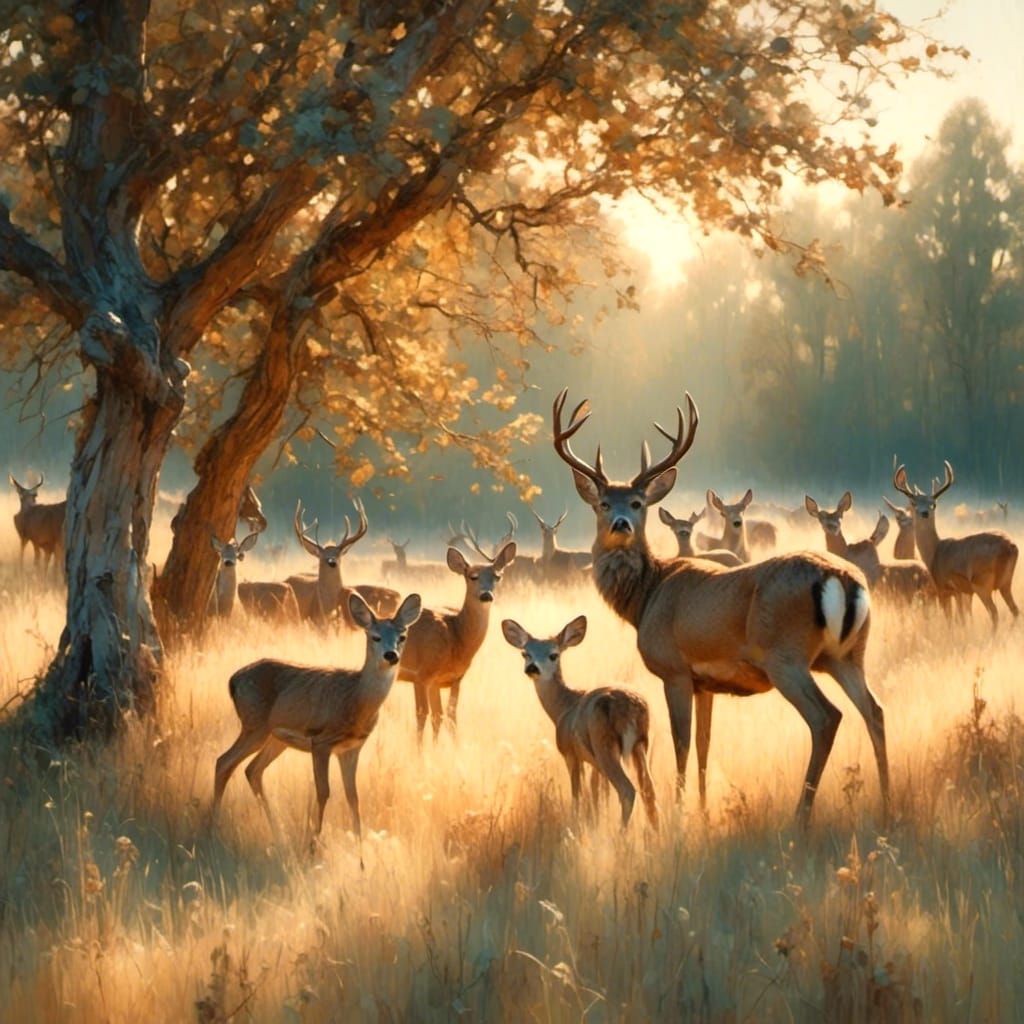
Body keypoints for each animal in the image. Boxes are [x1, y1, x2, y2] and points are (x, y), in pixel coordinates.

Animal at [213, 592, 422, 847]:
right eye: (375, 636)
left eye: (402, 636)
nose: (391, 655)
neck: (356, 699)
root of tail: (233, 680)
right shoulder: (322, 741)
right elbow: (324, 791)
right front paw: (313, 843)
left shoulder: (351, 748)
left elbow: (353, 796)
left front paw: (360, 847)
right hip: (254, 725)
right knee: (224, 762)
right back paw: (211, 827)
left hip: (276, 738)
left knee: (252, 769)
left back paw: (277, 833)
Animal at [398, 542, 516, 741]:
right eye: (472, 576)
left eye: (498, 576)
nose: (486, 595)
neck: (456, 636)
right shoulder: (422, 674)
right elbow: (423, 715)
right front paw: (420, 749)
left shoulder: (452, 679)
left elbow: (446, 717)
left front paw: (446, 747)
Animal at [502, 615, 659, 829]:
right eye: (525, 654)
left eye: (554, 655)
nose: (532, 668)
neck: (563, 708)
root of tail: (631, 708)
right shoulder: (594, 764)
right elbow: (597, 795)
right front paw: (596, 823)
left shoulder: (570, 752)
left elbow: (578, 794)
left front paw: (578, 824)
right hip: (640, 745)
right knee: (649, 790)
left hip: (603, 744)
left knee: (627, 790)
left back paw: (621, 833)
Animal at [552, 388, 888, 828]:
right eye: (603, 504)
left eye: (638, 503)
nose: (621, 524)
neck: (646, 597)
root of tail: (844, 579)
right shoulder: (705, 683)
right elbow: (704, 745)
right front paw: (702, 806)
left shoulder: (674, 669)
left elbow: (680, 743)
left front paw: (679, 812)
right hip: (848, 655)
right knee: (875, 711)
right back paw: (890, 801)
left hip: (787, 656)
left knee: (827, 718)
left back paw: (801, 816)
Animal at [893, 461, 1019, 628]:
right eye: (914, 503)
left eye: (933, 504)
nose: (924, 513)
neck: (934, 552)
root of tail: (1011, 547)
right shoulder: (963, 591)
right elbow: (963, 619)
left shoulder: (944, 588)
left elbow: (952, 620)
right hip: (1006, 583)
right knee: (1016, 610)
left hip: (982, 581)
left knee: (994, 613)